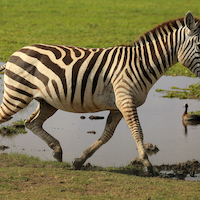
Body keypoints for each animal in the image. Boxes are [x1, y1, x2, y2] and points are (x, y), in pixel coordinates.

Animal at [0, 10, 200, 174]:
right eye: (199, 46)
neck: (141, 63)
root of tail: (14, 53)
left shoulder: (117, 107)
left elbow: (107, 135)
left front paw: (79, 161)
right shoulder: (125, 100)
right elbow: (138, 131)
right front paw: (148, 166)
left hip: (47, 102)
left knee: (31, 122)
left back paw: (57, 150)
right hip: (17, 95)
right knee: (8, 116)